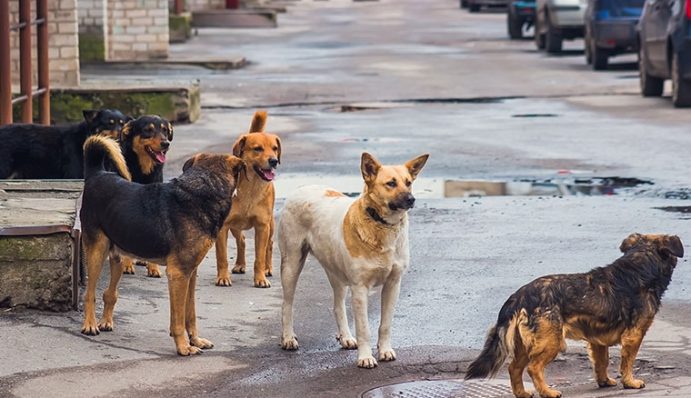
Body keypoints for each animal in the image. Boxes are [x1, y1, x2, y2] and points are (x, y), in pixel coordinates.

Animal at [80, 135, 246, 356]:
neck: (204, 188)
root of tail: (97, 174)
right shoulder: (178, 274)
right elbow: (178, 320)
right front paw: (183, 346)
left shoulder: (190, 273)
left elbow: (190, 314)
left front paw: (195, 340)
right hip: (97, 252)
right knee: (89, 293)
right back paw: (90, 325)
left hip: (118, 256)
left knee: (109, 293)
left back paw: (106, 321)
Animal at [216, 110, 282, 288]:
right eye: (257, 149)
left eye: (275, 149)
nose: (274, 161)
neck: (251, 188)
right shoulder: (223, 227)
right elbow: (222, 257)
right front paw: (222, 277)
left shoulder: (262, 226)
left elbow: (259, 257)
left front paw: (260, 278)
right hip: (235, 226)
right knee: (242, 240)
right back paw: (240, 264)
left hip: (270, 225)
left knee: (269, 245)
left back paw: (267, 268)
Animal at [278, 152, 430, 366]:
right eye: (391, 183)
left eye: (408, 183)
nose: (411, 199)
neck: (380, 224)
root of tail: (302, 187)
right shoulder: (359, 289)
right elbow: (364, 328)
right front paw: (365, 357)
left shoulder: (393, 284)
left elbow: (385, 325)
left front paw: (384, 350)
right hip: (291, 264)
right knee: (287, 304)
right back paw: (288, 338)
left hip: (336, 273)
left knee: (337, 306)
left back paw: (346, 337)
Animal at [468, 233, 684, 398]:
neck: (640, 265)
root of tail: (519, 295)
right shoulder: (634, 335)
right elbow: (628, 362)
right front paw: (630, 382)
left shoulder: (598, 340)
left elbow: (602, 362)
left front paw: (604, 381)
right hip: (551, 342)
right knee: (533, 368)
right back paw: (547, 392)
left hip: (524, 344)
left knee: (514, 368)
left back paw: (522, 393)